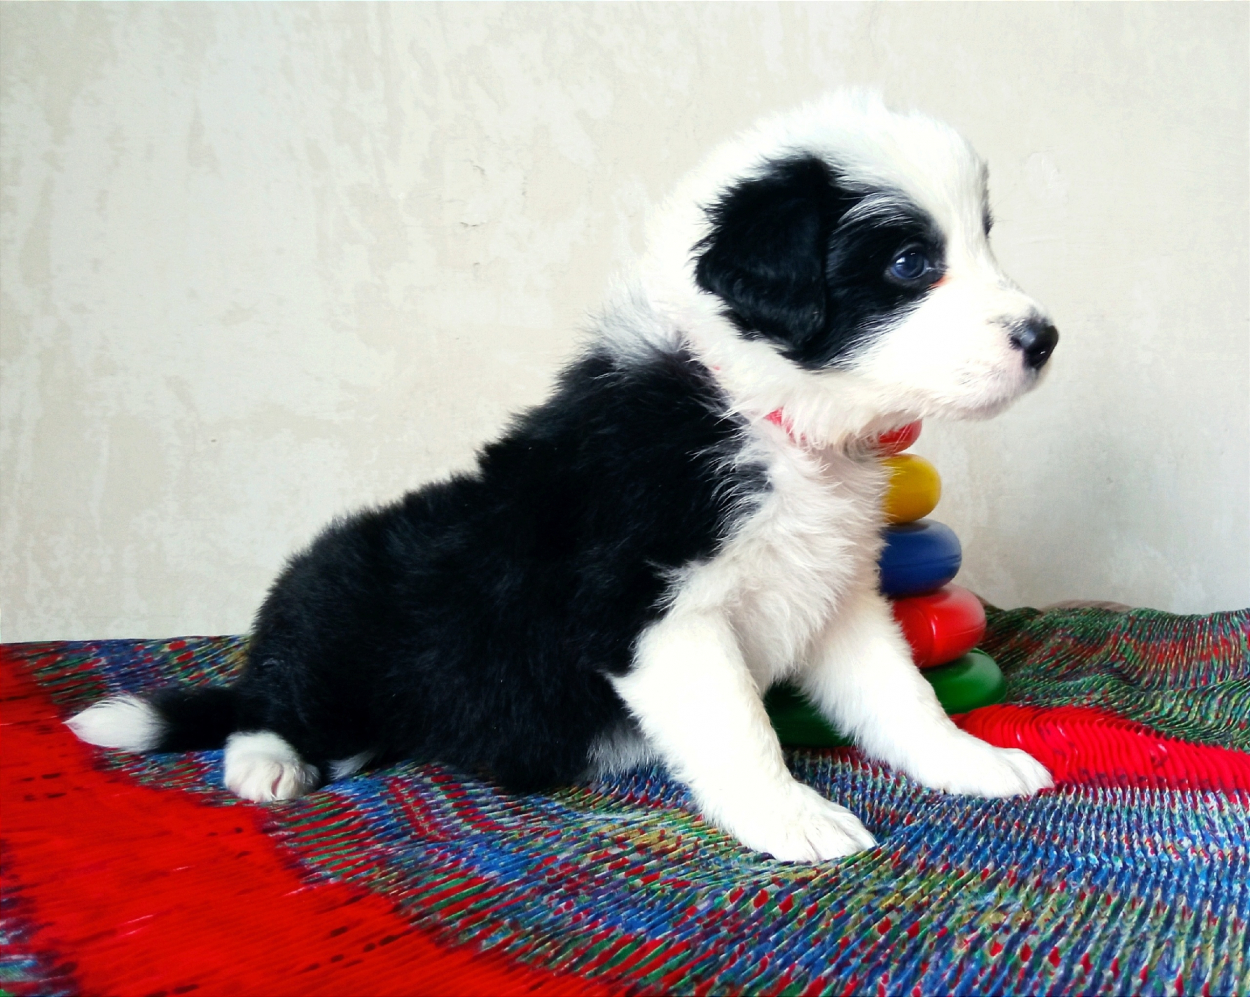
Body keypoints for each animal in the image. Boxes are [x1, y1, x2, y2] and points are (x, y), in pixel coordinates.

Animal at [68, 92, 1058, 863]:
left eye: (983, 239)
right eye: (910, 264)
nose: (1045, 337)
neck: (764, 411)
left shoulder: (835, 591)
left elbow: (900, 693)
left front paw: (969, 761)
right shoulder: (656, 612)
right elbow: (738, 725)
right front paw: (793, 817)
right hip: (339, 611)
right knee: (267, 698)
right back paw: (264, 761)